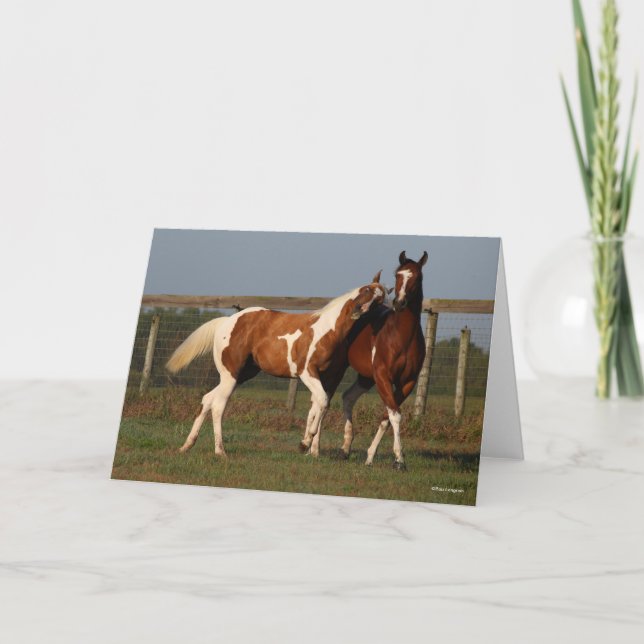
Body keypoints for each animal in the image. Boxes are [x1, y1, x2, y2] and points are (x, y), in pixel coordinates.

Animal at [165, 276, 386, 457]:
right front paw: (305, 444)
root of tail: (227, 322)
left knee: (208, 399)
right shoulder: (307, 372)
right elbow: (321, 403)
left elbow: (320, 407)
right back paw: (220, 451)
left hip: (242, 375)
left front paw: (311, 450)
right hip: (231, 375)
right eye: (365, 289)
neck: (328, 331)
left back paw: (187, 445)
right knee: (218, 405)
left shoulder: (331, 378)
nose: (358, 311)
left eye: (380, 300)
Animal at [319, 251, 428, 469]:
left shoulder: (407, 382)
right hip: (337, 371)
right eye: (397, 275)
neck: (401, 337)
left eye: (418, 277)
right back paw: (311, 447)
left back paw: (345, 449)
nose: (399, 303)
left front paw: (371, 456)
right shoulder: (382, 376)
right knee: (322, 401)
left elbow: (388, 416)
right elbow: (395, 414)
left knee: (348, 397)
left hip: (365, 377)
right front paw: (399, 460)